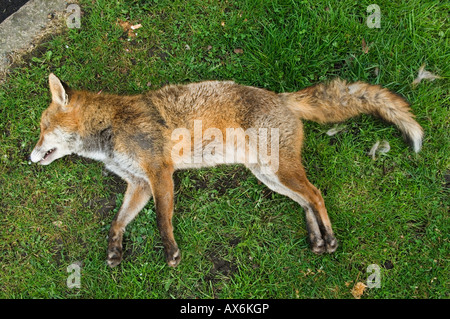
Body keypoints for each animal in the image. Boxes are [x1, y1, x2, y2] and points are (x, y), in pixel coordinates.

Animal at [30, 74, 422, 268]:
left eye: (43, 129)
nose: (30, 156)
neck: (111, 128)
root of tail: (282, 97)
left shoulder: (160, 172)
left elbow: (162, 220)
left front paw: (171, 253)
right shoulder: (139, 183)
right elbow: (118, 222)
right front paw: (114, 251)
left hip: (278, 170)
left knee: (316, 194)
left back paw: (330, 238)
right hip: (268, 174)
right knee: (305, 200)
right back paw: (317, 239)